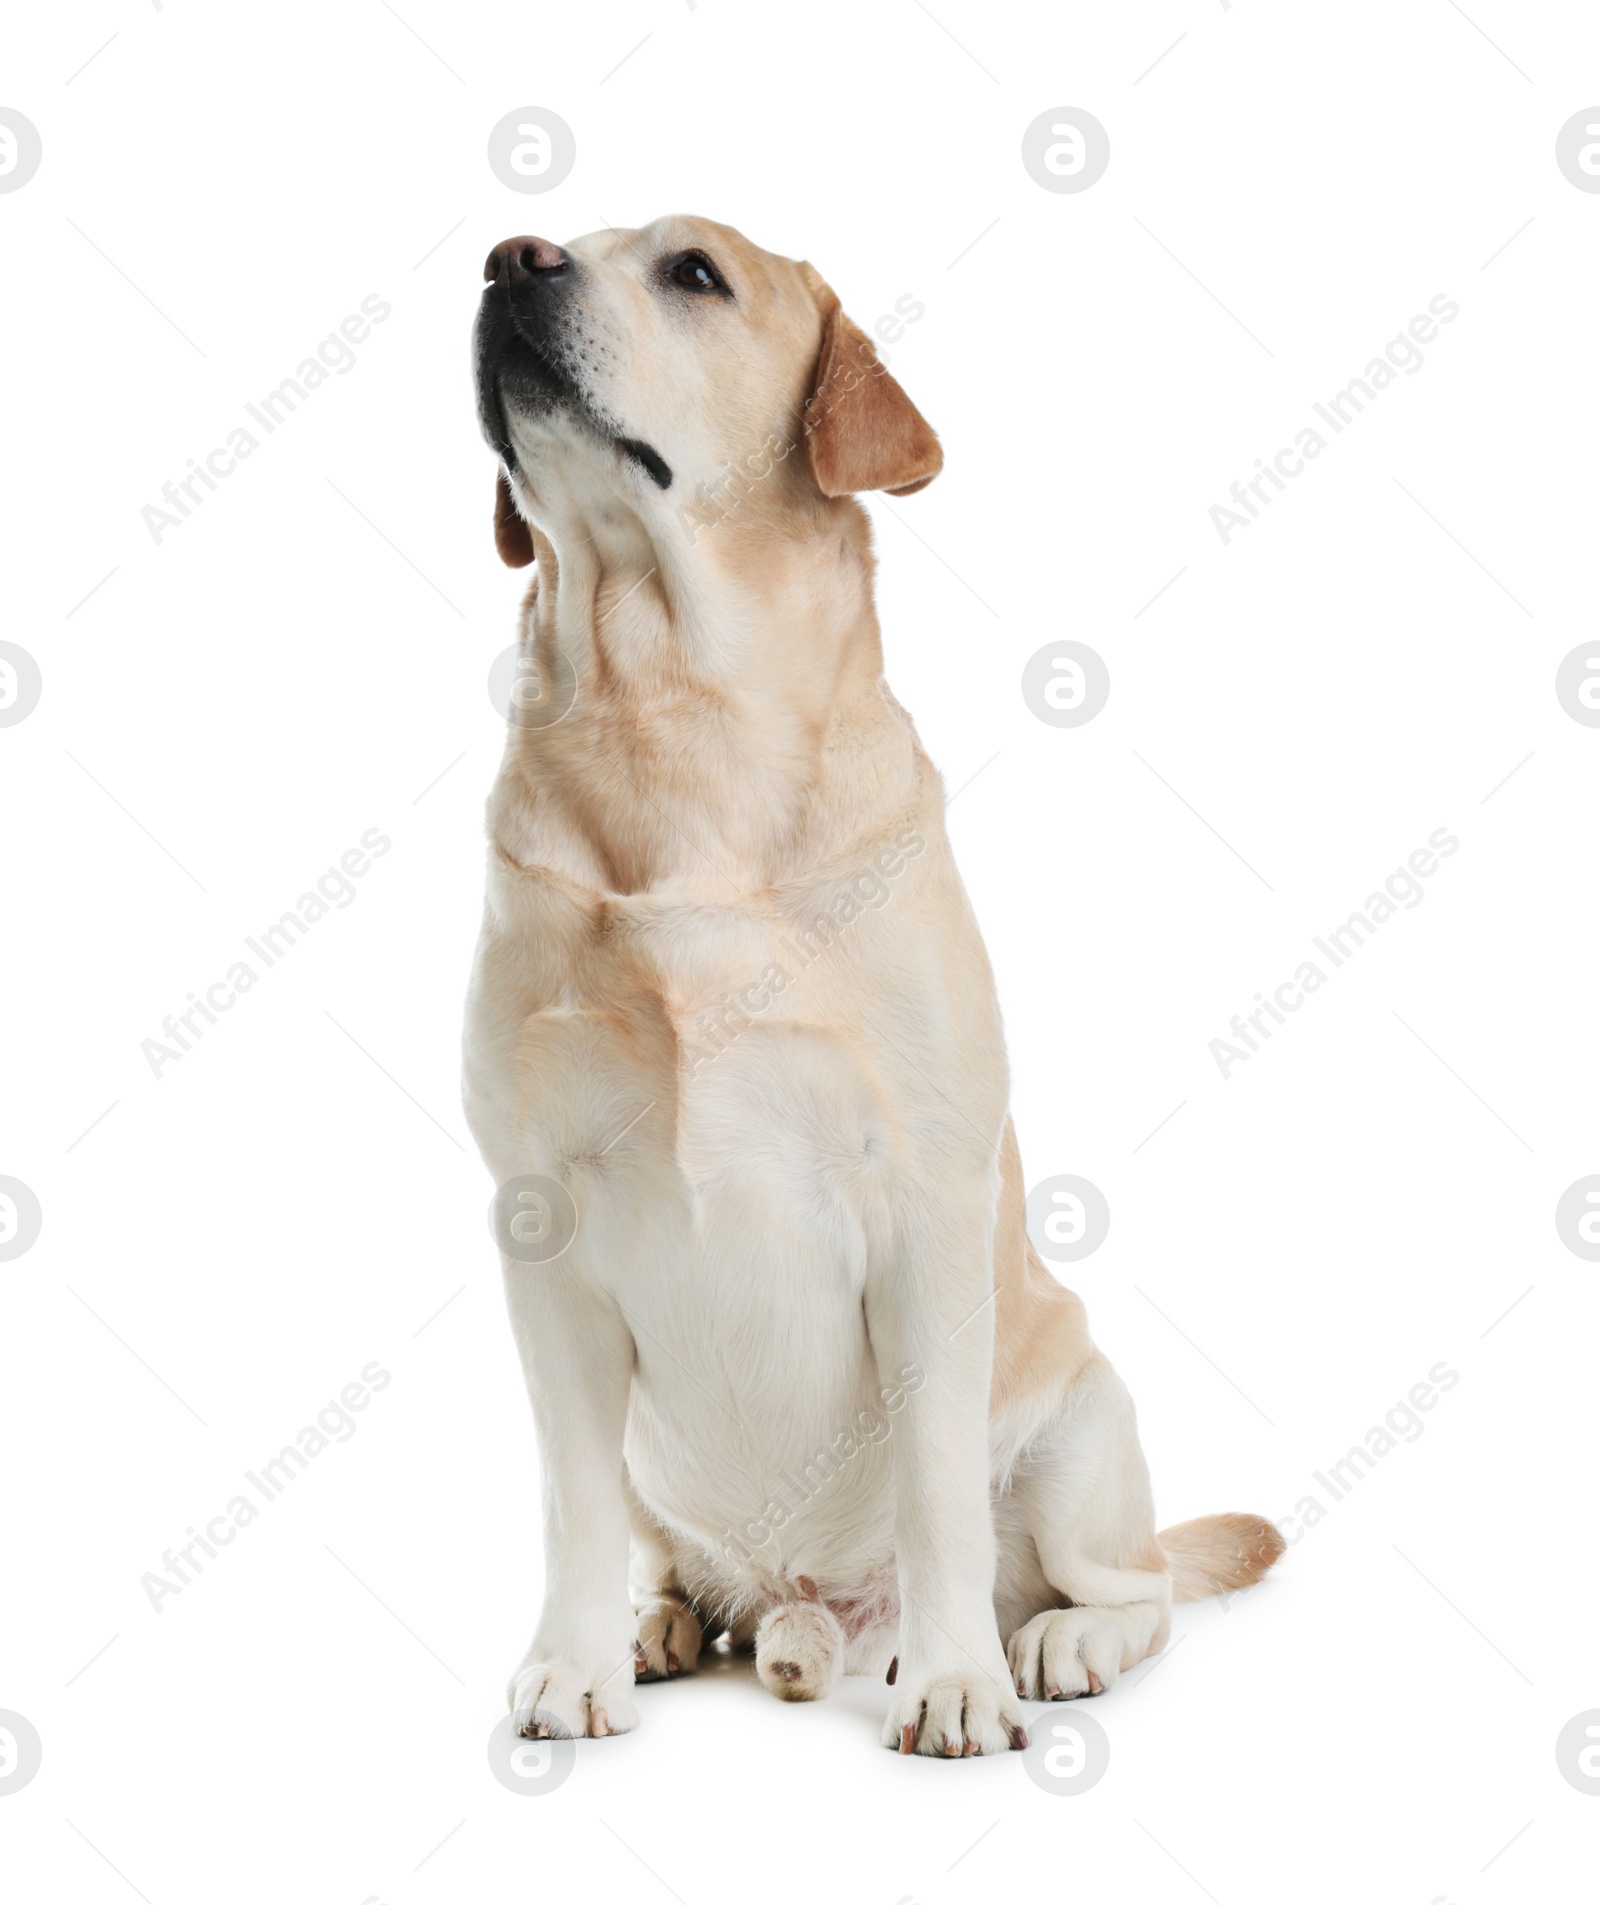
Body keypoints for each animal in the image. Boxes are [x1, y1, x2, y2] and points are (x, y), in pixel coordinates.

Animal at [464, 219, 1287, 1752]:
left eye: (693, 272)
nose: (509, 259)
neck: (673, 722)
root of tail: (813, 1613)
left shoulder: (923, 1212)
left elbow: (936, 1494)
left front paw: (960, 1681)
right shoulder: (540, 1229)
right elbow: (568, 1501)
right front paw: (573, 1664)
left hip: (1083, 1415)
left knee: (1135, 1584)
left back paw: (1046, 1644)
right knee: (676, 1559)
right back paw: (670, 1627)